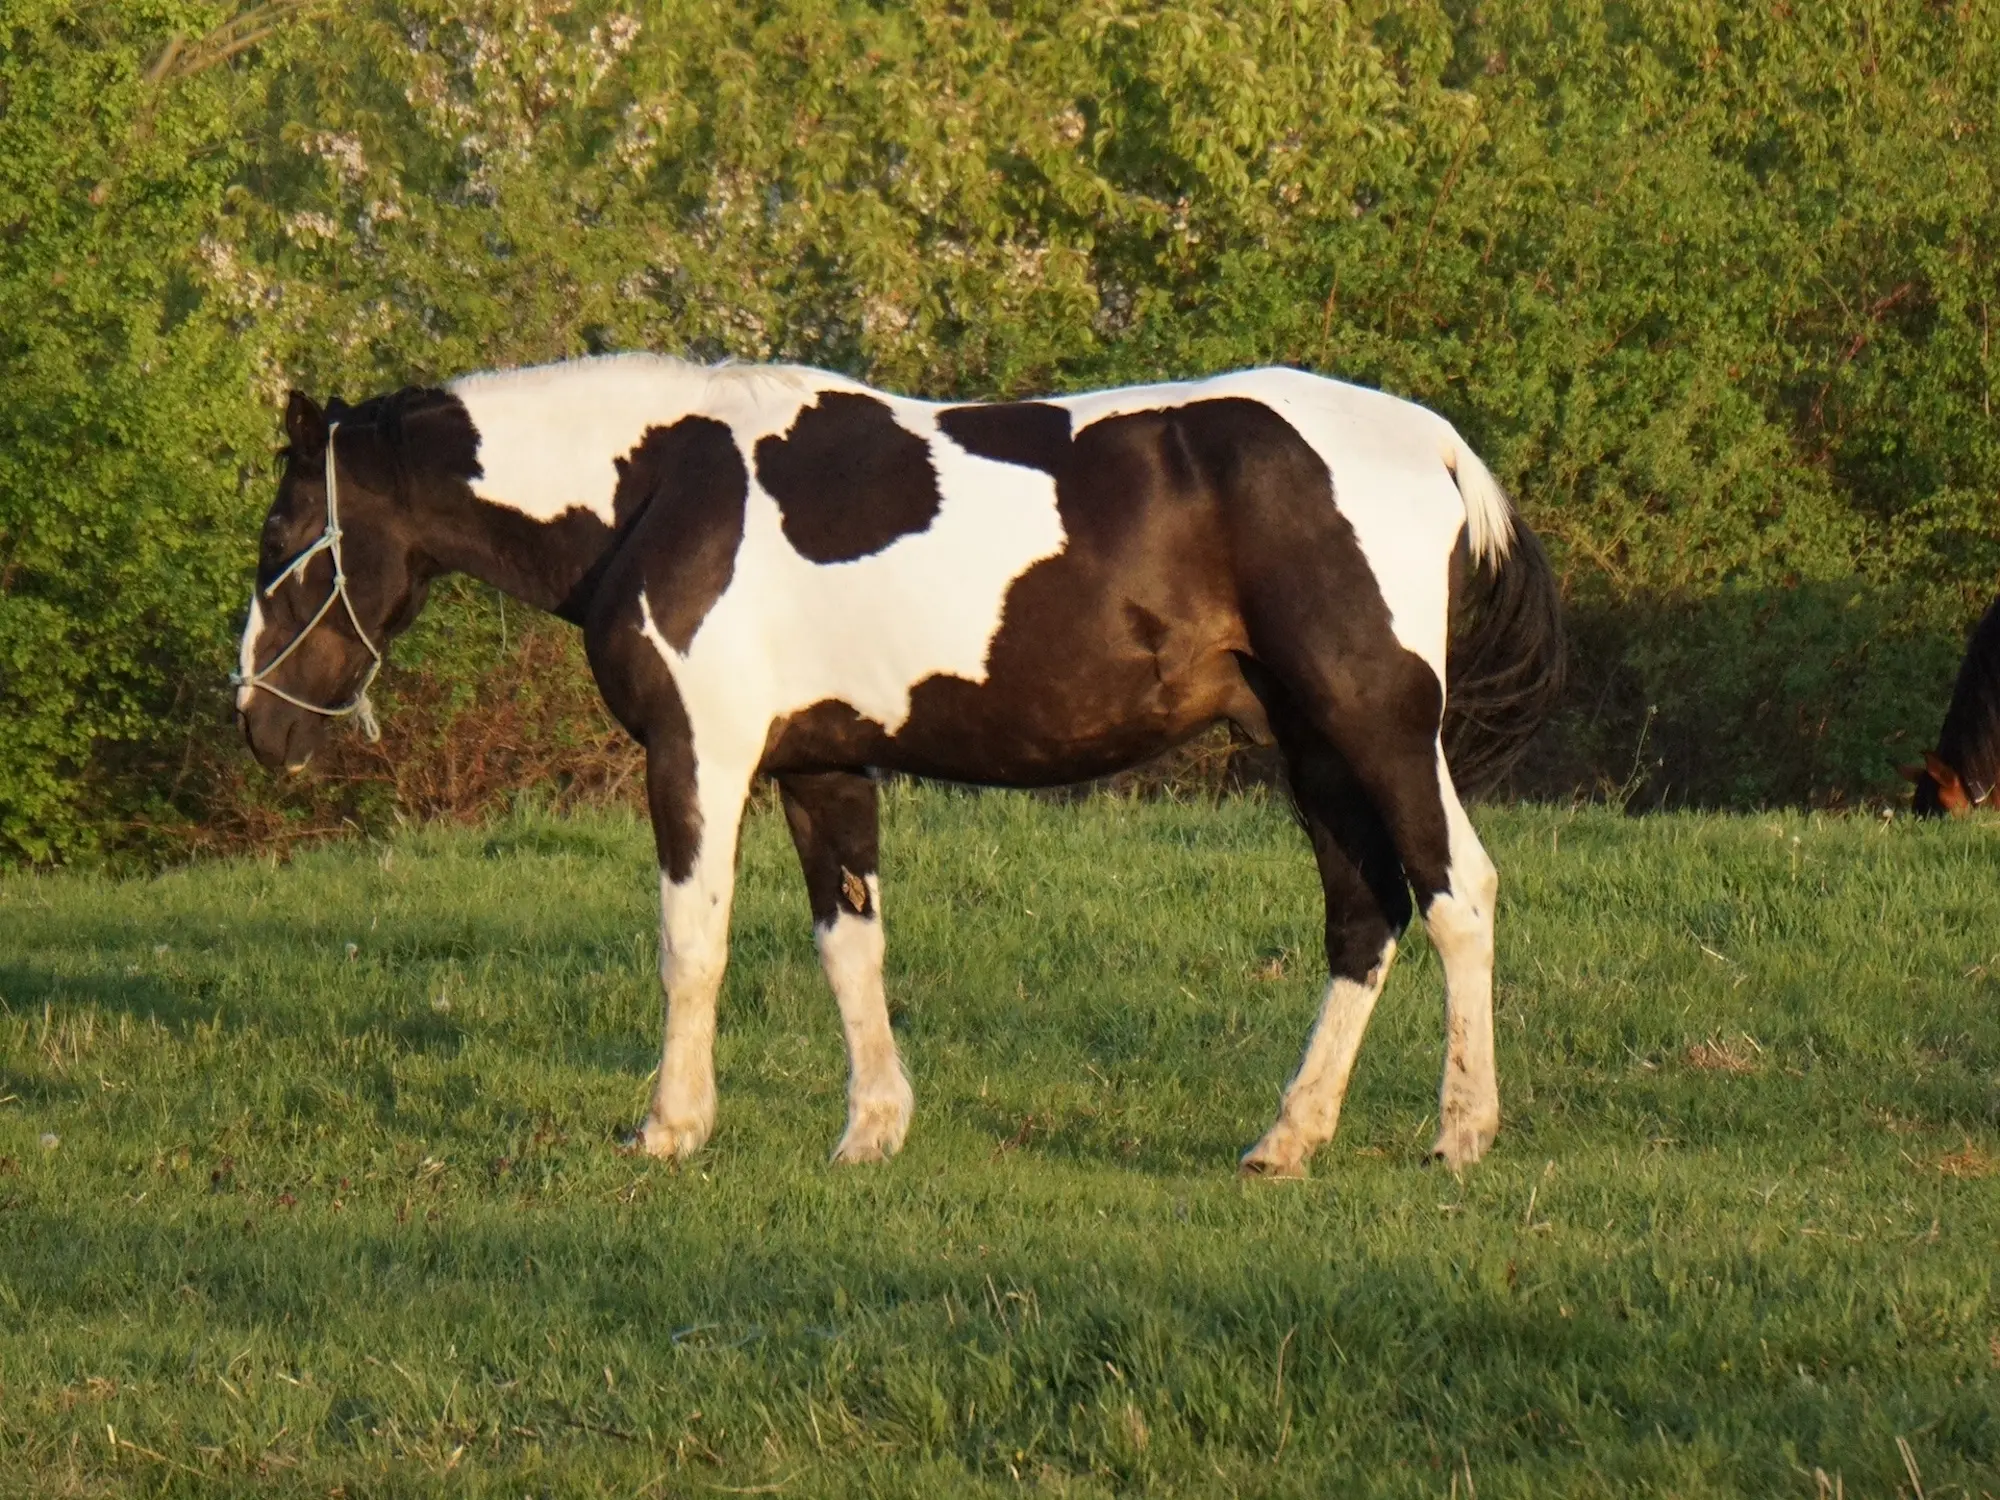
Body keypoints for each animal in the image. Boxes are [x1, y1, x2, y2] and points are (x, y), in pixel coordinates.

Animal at [230, 358, 1560, 1184]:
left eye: (284, 536)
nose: (259, 722)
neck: (662, 492)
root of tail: (1427, 443)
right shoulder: (822, 767)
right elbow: (848, 945)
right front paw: (871, 1129)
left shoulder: (699, 755)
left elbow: (690, 941)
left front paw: (670, 1127)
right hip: (1308, 746)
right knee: (1363, 914)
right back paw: (1289, 1138)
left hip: (1374, 724)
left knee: (1457, 894)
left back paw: (1459, 1132)